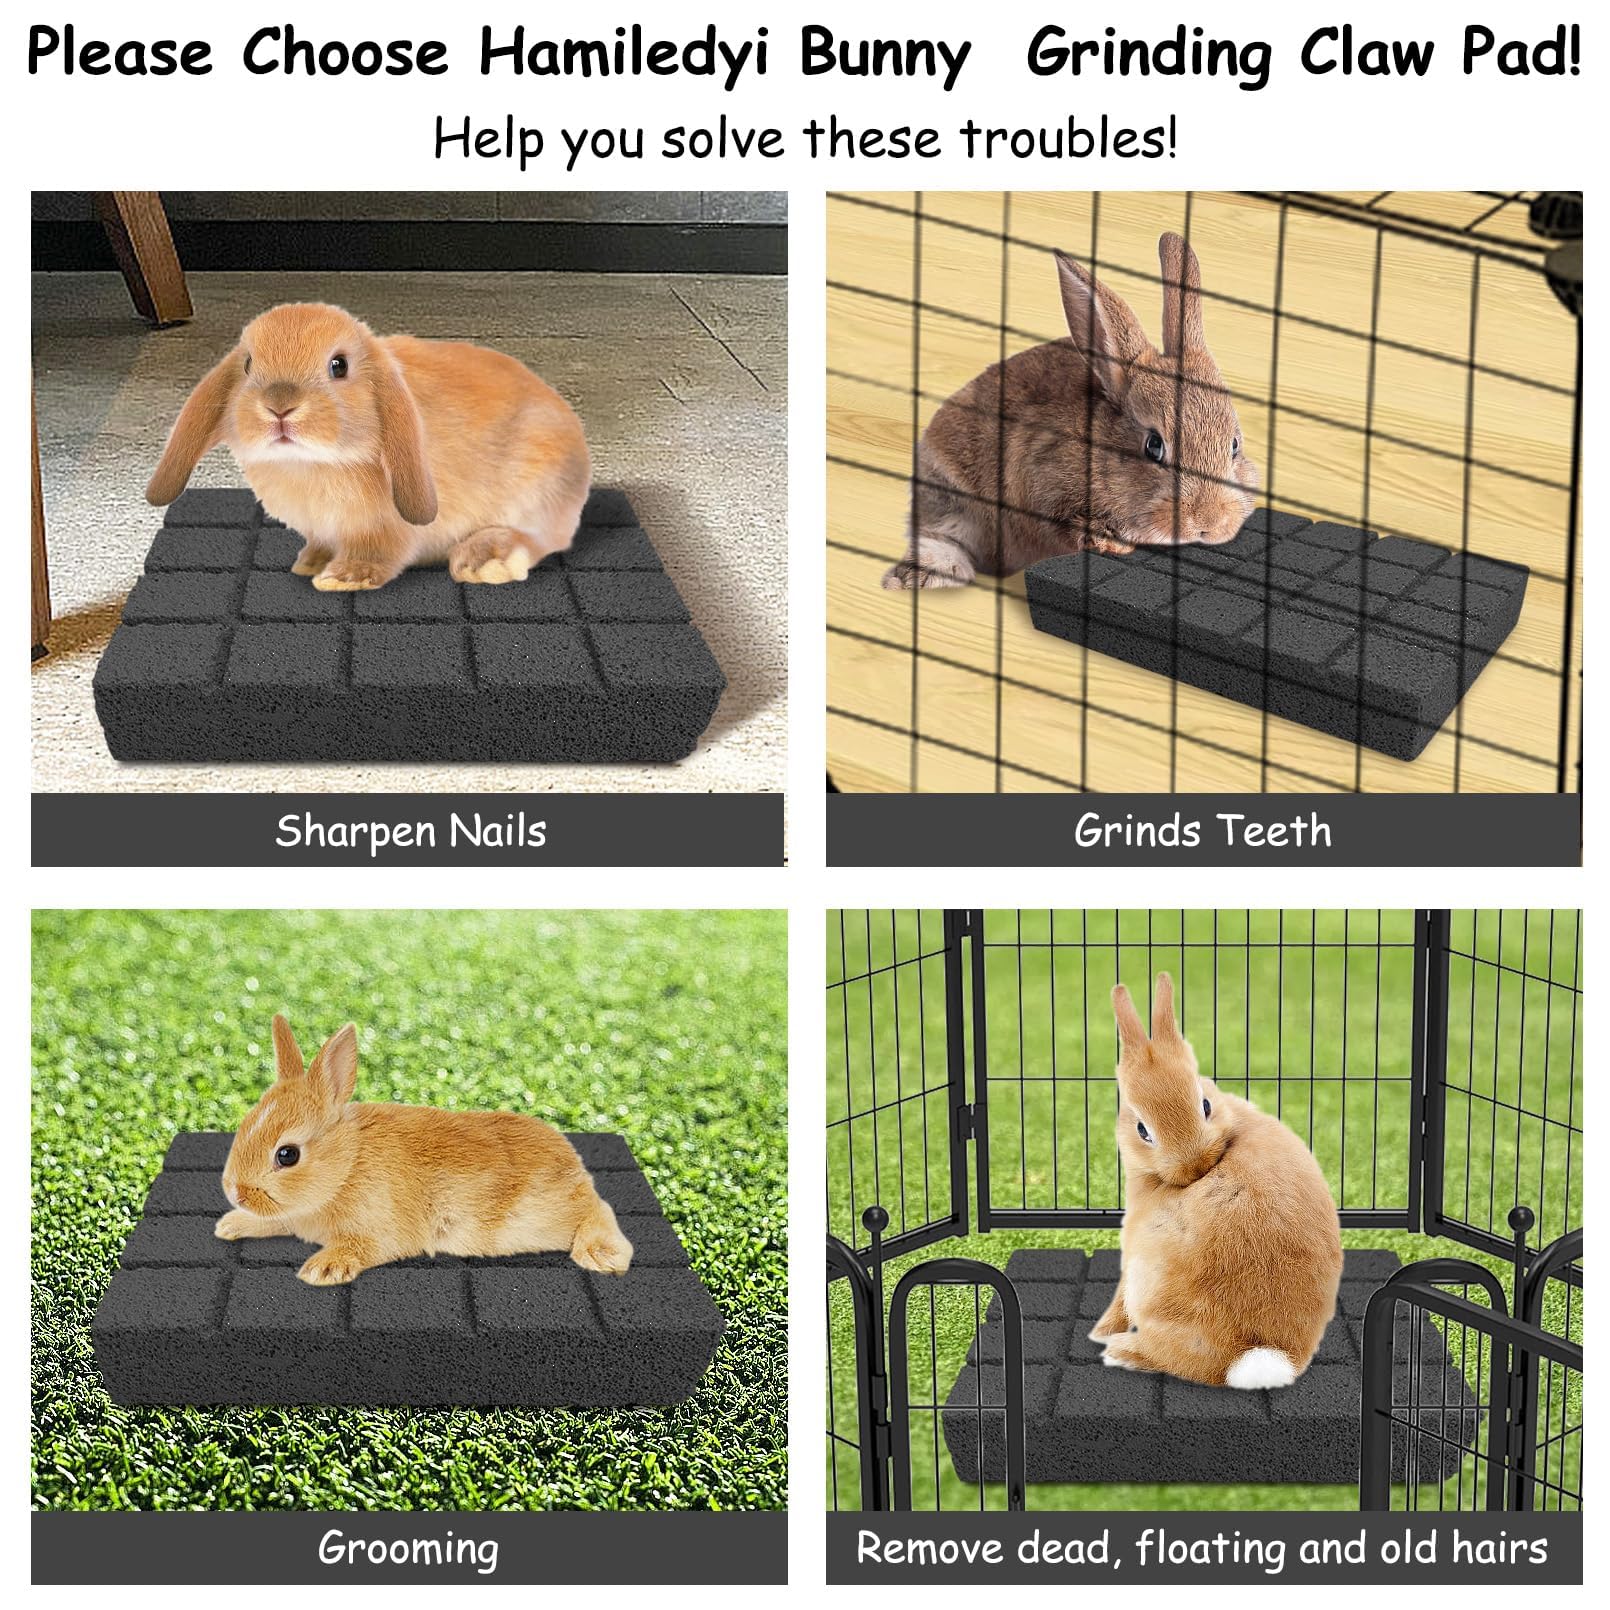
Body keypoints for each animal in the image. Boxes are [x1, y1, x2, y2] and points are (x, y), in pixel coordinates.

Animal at [147, 303, 590, 592]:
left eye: (339, 366)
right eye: (248, 365)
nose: (279, 406)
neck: (310, 464)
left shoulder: (385, 528)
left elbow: (379, 552)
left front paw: (341, 578)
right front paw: (310, 563)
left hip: (538, 487)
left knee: (542, 538)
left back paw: (485, 561)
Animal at [215, 1014, 633, 1286]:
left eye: (287, 1155)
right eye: (246, 1123)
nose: (235, 1192)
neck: (347, 1165)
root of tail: (575, 1166)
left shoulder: (381, 1230)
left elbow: (361, 1247)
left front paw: (323, 1269)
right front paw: (232, 1225)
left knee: (599, 1209)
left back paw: (602, 1255)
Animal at [1089, 974, 1343, 1389]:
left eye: (1204, 1105)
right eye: (1143, 1129)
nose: (1194, 1166)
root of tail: (1256, 1356)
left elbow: (1119, 1300)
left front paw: (1099, 1332)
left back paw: (1121, 1351)